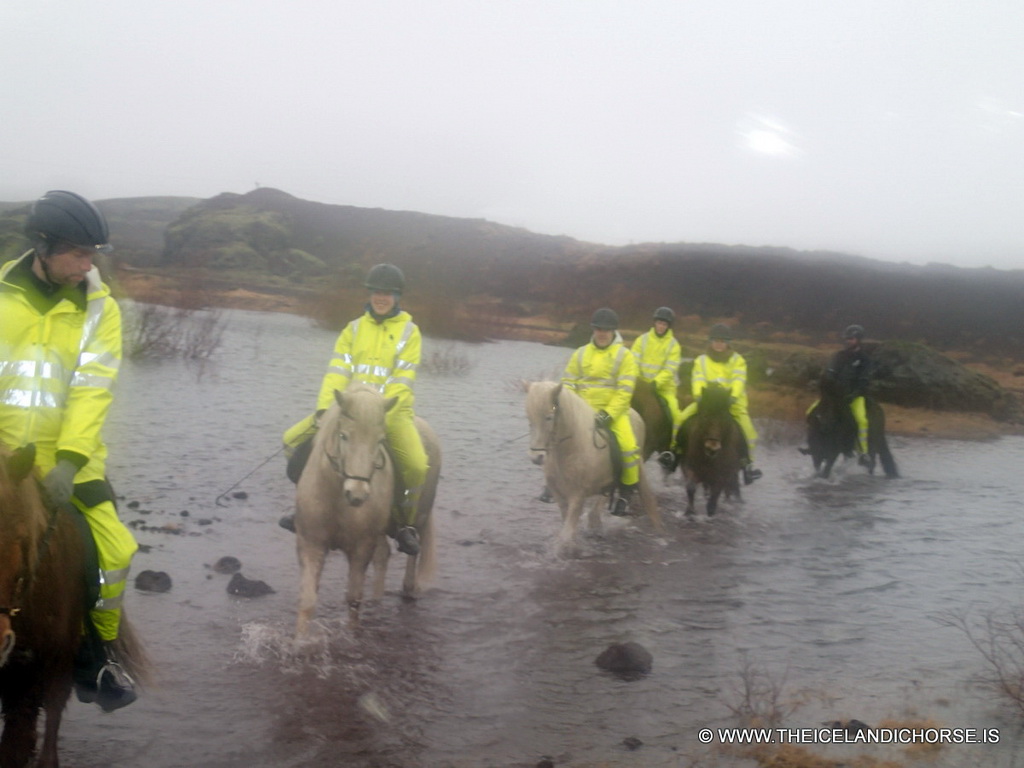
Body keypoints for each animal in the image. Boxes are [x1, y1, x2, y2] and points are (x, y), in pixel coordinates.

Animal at [294, 382, 442, 638]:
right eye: (343, 436)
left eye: (380, 441)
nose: (357, 494)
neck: (337, 500)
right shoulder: (311, 544)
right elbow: (308, 600)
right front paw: (299, 643)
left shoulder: (361, 547)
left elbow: (353, 598)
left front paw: (353, 635)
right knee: (383, 556)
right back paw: (378, 600)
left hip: (420, 516)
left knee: (413, 551)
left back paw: (408, 588)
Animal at [524, 380, 659, 552]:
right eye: (529, 418)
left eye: (549, 417)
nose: (536, 457)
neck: (570, 449)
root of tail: (635, 413)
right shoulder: (559, 494)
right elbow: (566, 523)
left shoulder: (577, 496)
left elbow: (566, 533)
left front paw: (567, 549)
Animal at [679, 385, 745, 518]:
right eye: (705, 416)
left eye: (724, 417)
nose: (712, 448)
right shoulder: (689, 465)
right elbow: (690, 486)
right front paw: (690, 512)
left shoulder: (723, 473)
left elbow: (717, 491)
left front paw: (711, 510)